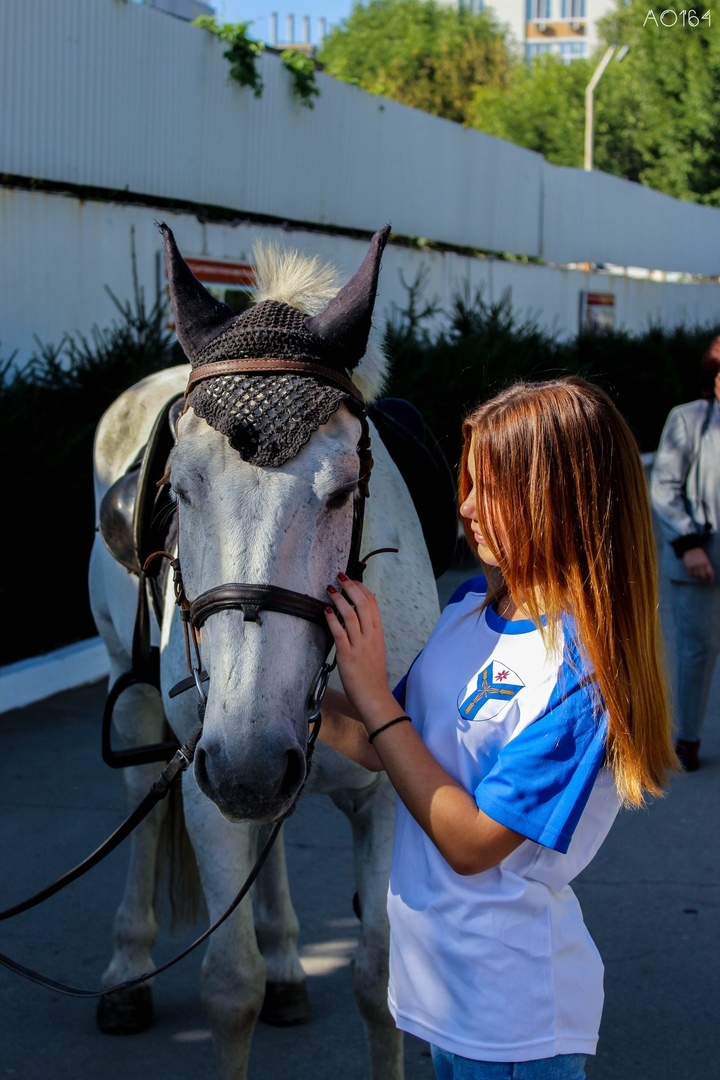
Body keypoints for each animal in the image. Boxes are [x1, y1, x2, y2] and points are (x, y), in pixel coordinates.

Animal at [87, 223, 442, 1075]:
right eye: (178, 491)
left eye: (344, 490)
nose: (247, 763)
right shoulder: (204, 776)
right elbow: (229, 984)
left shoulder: (383, 792)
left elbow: (380, 977)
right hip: (140, 695)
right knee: (142, 807)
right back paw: (127, 970)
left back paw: (286, 961)